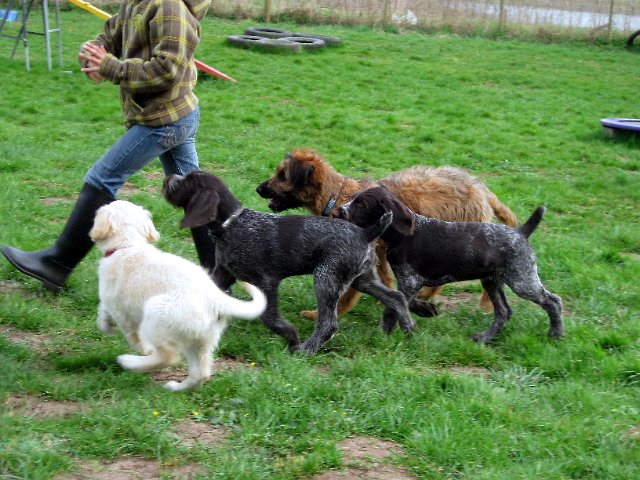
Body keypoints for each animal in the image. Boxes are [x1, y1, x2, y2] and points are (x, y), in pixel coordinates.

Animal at [89, 200, 267, 391]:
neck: (128, 245)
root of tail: (216, 299)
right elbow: (103, 309)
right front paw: (105, 324)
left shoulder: (120, 310)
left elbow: (131, 335)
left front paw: (120, 335)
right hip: (199, 339)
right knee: (201, 372)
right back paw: (176, 387)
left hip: (156, 317)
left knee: (168, 356)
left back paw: (130, 362)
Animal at [162, 171, 415, 355]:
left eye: (189, 181)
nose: (169, 178)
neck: (230, 225)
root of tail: (365, 233)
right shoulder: (223, 274)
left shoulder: (267, 281)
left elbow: (269, 316)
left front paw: (290, 335)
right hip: (361, 279)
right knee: (396, 297)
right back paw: (407, 329)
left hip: (326, 278)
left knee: (328, 324)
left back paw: (305, 349)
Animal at [256, 147, 518, 318]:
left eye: (282, 175)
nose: (258, 188)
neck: (336, 196)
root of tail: (482, 189)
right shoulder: (380, 252)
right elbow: (384, 279)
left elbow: (347, 293)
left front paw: (323, 313)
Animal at [333, 187, 563, 343]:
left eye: (361, 204)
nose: (339, 212)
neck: (402, 235)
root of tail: (520, 232)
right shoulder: (410, 282)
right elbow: (402, 302)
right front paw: (424, 310)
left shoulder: (410, 280)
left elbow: (393, 306)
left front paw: (385, 333)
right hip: (492, 280)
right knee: (504, 312)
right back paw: (484, 337)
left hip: (521, 279)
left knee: (553, 301)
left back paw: (556, 333)